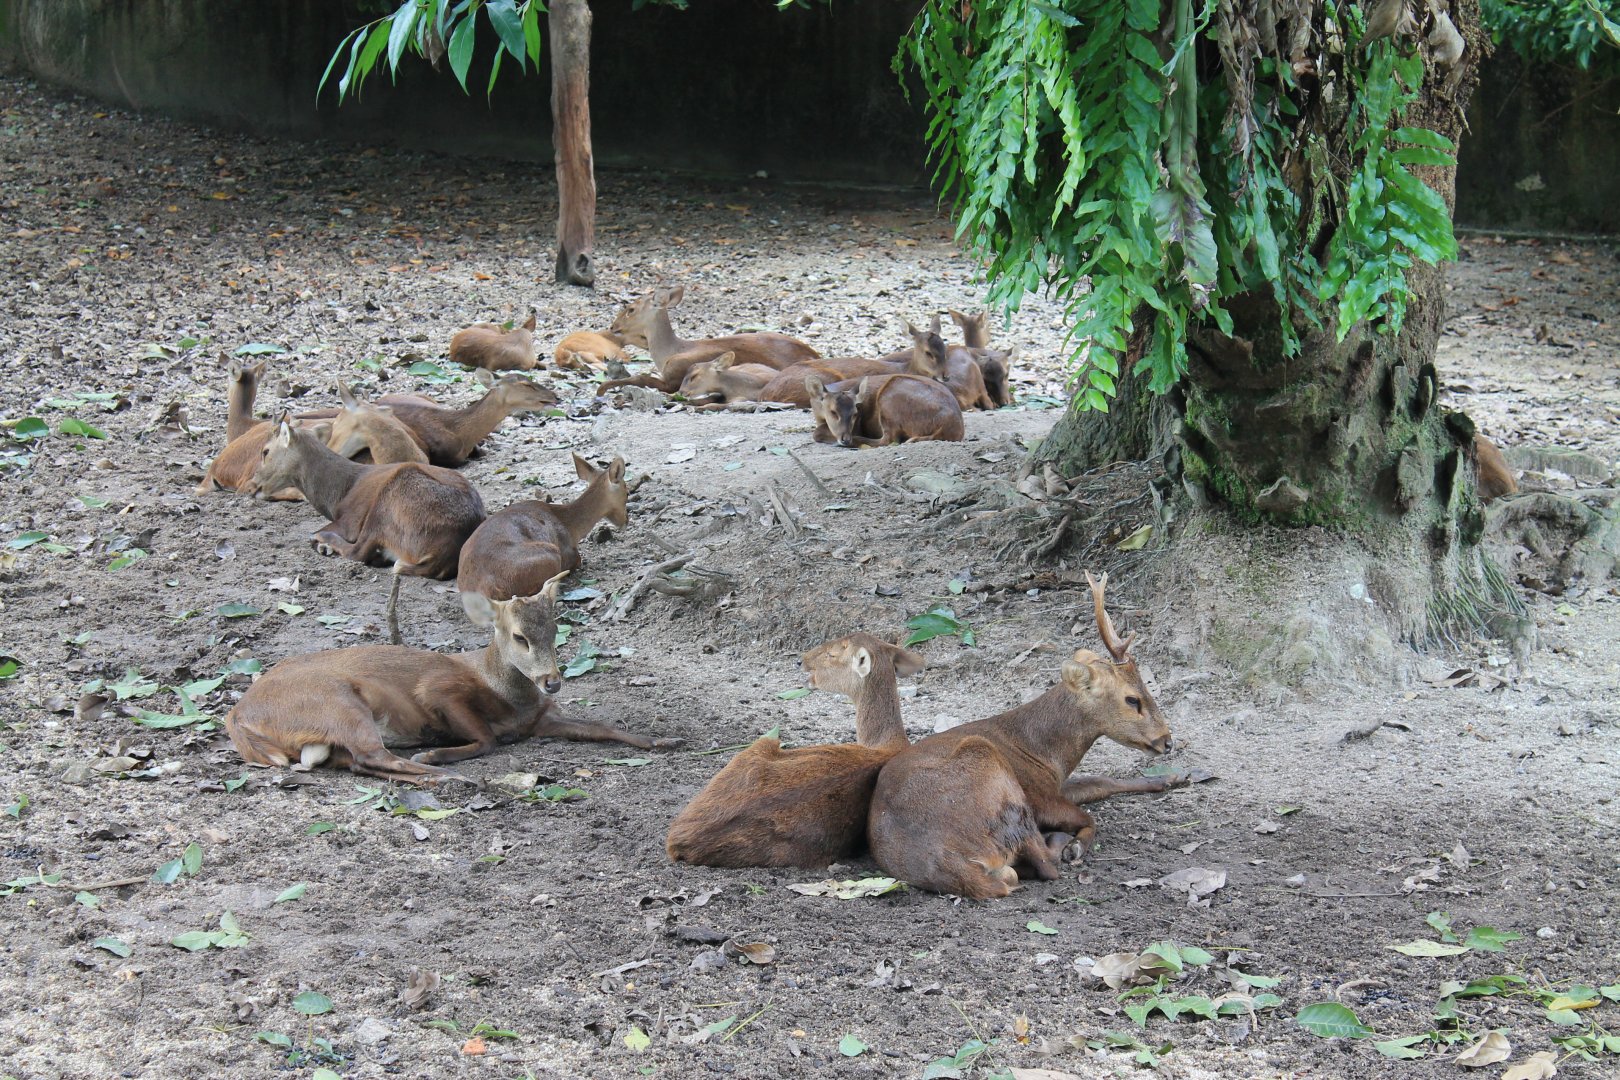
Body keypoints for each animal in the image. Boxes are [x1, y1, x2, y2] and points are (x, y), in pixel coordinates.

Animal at [226, 588, 681, 785]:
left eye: (556, 630)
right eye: (520, 637)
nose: (552, 681)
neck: (508, 698)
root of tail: (237, 716)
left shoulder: (540, 720)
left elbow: (603, 726)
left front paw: (665, 740)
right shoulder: (439, 689)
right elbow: (486, 739)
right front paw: (439, 751)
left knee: (357, 762)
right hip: (336, 702)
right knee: (372, 754)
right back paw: (450, 775)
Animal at [246, 416, 486, 645]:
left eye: (265, 451)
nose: (251, 486)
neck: (338, 493)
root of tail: (441, 556)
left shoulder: (350, 521)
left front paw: (321, 542)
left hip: (391, 495)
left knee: (358, 551)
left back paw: (326, 541)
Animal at [602, 284, 819, 393]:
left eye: (631, 309)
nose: (612, 326)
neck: (668, 353)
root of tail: (814, 355)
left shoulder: (674, 377)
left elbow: (641, 378)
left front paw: (602, 389)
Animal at [807, 373, 964, 448]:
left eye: (855, 414)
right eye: (833, 412)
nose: (845, 439)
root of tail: (954, 427)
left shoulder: (857, 427)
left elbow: (816, 432)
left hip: (890, 397)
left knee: (889, 439)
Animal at [867, 572, 1184, 899]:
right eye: (1132, 699)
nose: (1167, 740)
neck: (1045, 754)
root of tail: (957, 864)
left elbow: (1101, 782)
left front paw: (1173, 777)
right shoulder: (1039, 795)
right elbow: (1088, 816)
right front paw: (1076, 846)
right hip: (999, 782)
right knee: (1045, 863)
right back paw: (1062, 844)